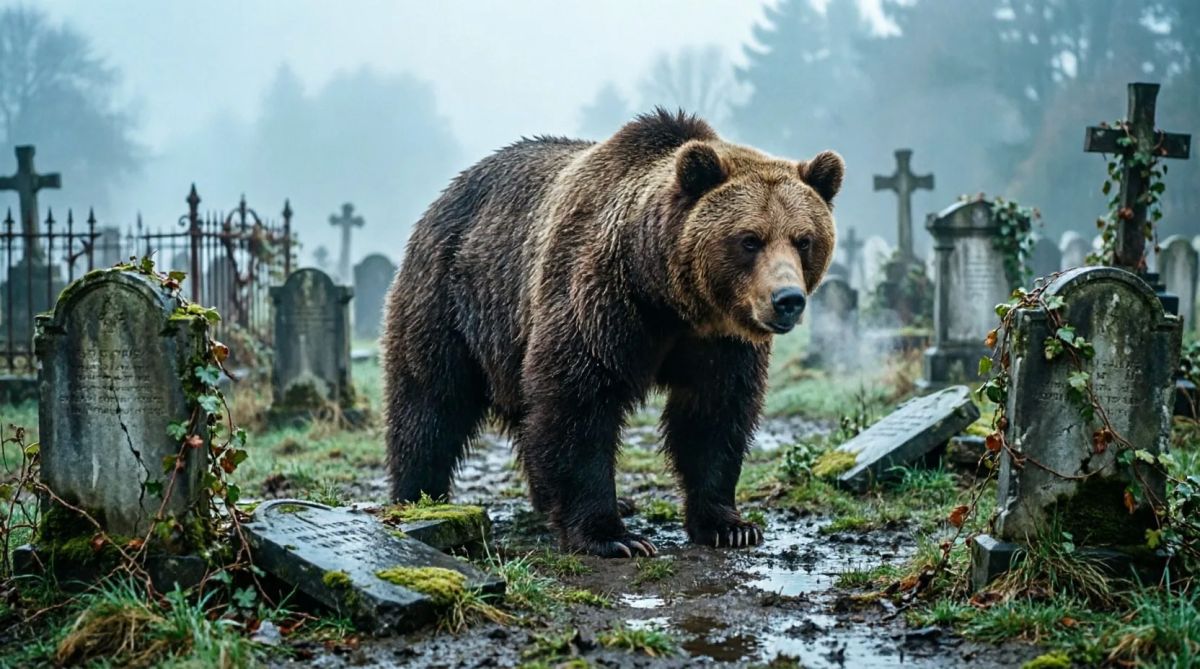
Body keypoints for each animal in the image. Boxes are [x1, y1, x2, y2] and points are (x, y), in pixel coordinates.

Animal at [381, 109, 842, 557]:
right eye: (749, 239)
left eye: (803, 239)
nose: (787, 300)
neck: (669, 297)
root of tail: (448, 193)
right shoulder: (600, 302)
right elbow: (577, 403)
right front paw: (613, 535)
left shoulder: (720, 341)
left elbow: (715, 414)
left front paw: (729, 526)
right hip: (453, 298)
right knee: (431, 400)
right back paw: (422, 497)